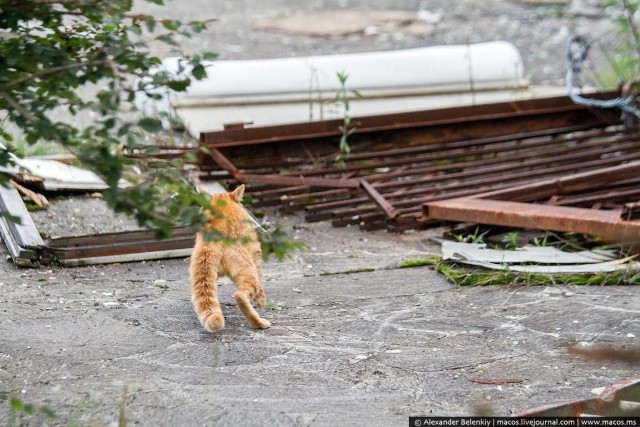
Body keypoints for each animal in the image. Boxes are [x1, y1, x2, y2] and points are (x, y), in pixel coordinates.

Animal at [190, 186, 270, 332]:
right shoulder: (255, 252)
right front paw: (261, 300)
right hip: (248, 271)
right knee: (240, 295)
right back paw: (259, 323)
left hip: (204, 273)